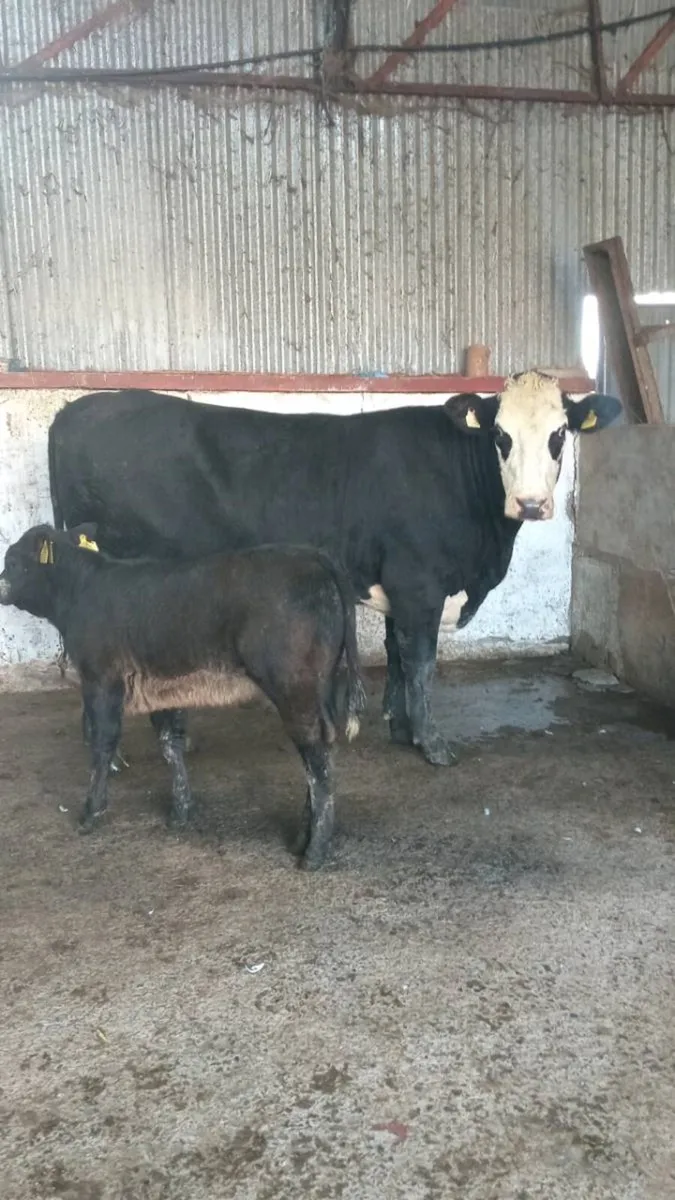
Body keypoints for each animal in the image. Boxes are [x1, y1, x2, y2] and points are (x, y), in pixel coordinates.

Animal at [0, 524, 366, 869]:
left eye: (13, 560)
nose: (0, 588)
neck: (81, 589)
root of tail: (314, 555)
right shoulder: (161, 688)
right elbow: (170, 743)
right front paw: (180, 811)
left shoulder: (100, 679)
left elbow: (102, 743)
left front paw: (91, 812)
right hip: (322, 686)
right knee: (322, 752)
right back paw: (303, 838)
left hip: (294, 688)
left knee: (316, 760)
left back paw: (314, 851)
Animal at [48, 370, 622, 767]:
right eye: (500, 435)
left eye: (560, 433)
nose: (530, 504)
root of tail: (75, 410)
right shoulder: (420, 583)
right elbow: (422, 663)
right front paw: (431, 743)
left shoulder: (399, 586)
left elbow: (397, 655)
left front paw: (400, 727)